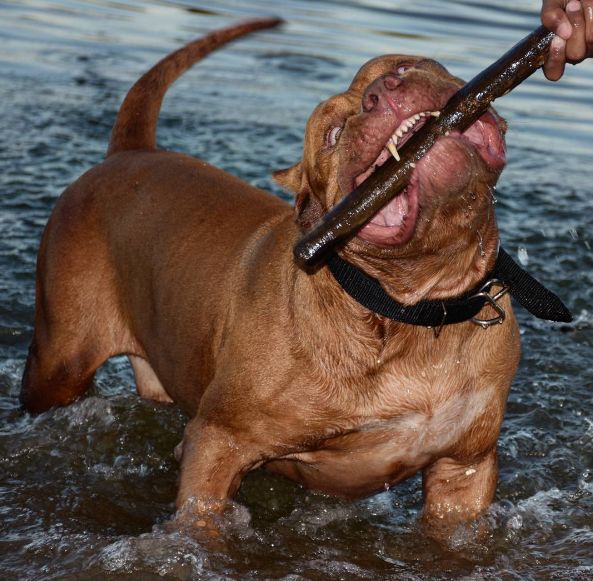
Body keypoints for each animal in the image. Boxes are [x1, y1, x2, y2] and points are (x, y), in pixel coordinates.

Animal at [19, 18, 520, 536]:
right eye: (331, 134)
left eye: (404, 65)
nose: (380, 92)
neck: (412, 312)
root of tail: (131, 150)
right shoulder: (218, 442)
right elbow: (202, 522)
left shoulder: (464, 469)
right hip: (60, 362)